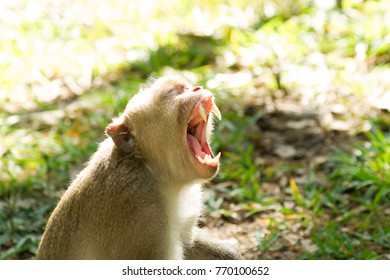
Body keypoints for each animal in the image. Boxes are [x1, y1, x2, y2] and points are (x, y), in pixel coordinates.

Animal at [36, 75, 239, 260]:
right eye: (173, 92)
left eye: (187, 87)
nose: (198, 88)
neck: (152, 168)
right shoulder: (142, 214)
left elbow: (189, 245)